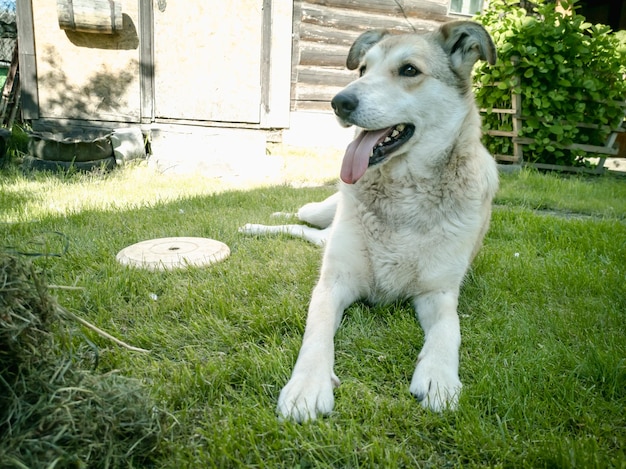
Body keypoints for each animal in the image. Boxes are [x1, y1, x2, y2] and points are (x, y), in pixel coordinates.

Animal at [239, 21, 498, 420]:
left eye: (409, 70)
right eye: (362, 69)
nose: (339, 102)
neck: (404, 193)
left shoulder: (438, 294)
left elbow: (448, 332)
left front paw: (439, 378)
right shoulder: (333, 283)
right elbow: (316, 332)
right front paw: (307, 385)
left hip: (324, 237)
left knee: (304, 231)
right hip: (320, 215)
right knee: (298, 217)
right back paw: (259, 223)